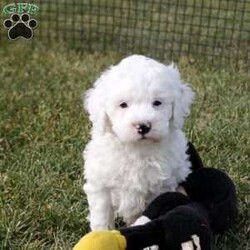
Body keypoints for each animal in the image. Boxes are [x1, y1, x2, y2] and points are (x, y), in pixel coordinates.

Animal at [83, 55, 194, 230]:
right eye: (123, 105)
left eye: (157, 103)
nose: (143, 126)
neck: (137, 148)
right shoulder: (101, 185)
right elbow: (102, 215)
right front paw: (101, 232)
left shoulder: (161, 187)